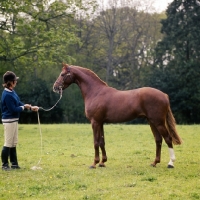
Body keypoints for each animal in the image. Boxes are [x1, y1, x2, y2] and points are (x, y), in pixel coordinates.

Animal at [52, 63, 181, 169]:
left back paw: (171, 163)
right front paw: (102, 162)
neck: (95, 92)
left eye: (62, 74)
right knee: (158, 140)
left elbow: (96, 142)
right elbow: (102, 141)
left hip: (158, 122)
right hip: (152, 122)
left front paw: (94, 163)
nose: (55, 87)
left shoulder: (95, 122)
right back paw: (154, 163)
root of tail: (164, 95)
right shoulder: (100, 123)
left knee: (168, 139)